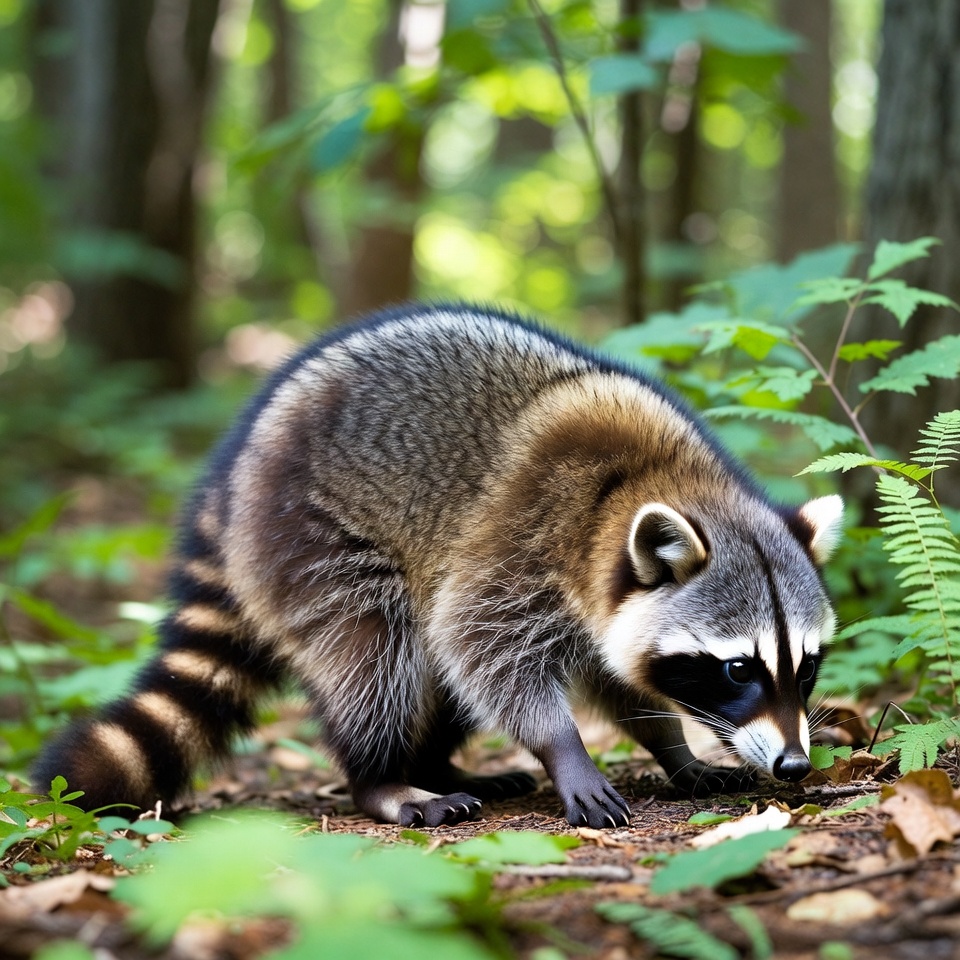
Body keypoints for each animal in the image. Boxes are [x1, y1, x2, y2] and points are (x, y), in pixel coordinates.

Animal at [35, 304, 843, 829]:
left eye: (806, 667)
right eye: (737, 669)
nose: (795, 768)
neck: (647, 481)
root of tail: (230, 478)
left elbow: (612, 676)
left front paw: (671, 745)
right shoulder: (522, 538)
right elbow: (478, 642)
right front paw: (566, 750)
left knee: (431, 671)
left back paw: (437, 764)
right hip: (310, 536)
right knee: (381, 652)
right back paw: (383, 780)